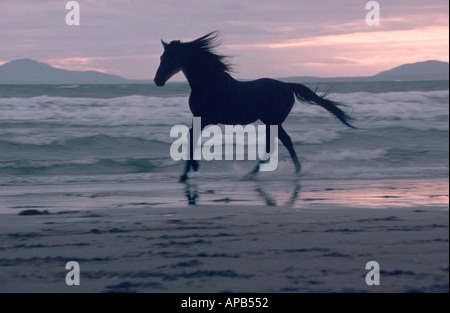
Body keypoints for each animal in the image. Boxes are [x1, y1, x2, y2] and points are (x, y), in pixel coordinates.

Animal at [155, 31, 356, 180]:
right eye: (161, 57)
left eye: (168, 58)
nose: (157, 80)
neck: (209, 84)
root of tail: (287, 86)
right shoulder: (200, 118)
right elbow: (191, 137)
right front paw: (187, 172)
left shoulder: (208, 119)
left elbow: (191, 137)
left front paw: (191, 169)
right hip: (272, 122)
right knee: (285, 141)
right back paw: (290, 171)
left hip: (272, 121)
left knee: (275, 144)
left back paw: (251, 174)